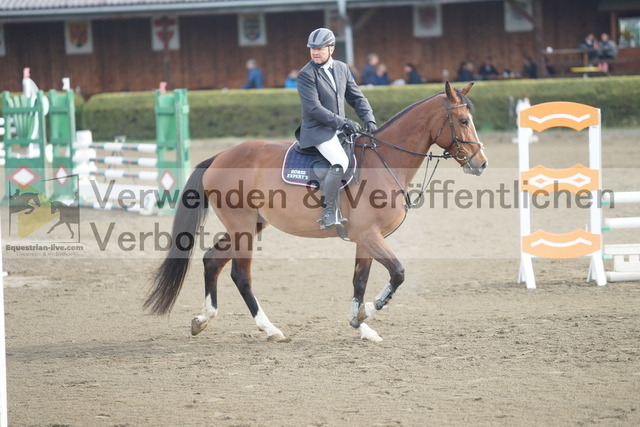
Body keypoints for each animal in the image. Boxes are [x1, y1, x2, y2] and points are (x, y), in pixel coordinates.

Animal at [144, 83, 484, 344]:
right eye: (462, 120)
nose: (481, 163)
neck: (384, 161)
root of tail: (219, 156)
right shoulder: (369, 236)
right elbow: (398, 273)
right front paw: (368, 311)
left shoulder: (366, 239)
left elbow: (359, 280)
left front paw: (361, 326)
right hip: (243, 228)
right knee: (241, 275)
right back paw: (269, 329)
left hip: (250, 226)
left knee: (212, 260)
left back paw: (203, 319)